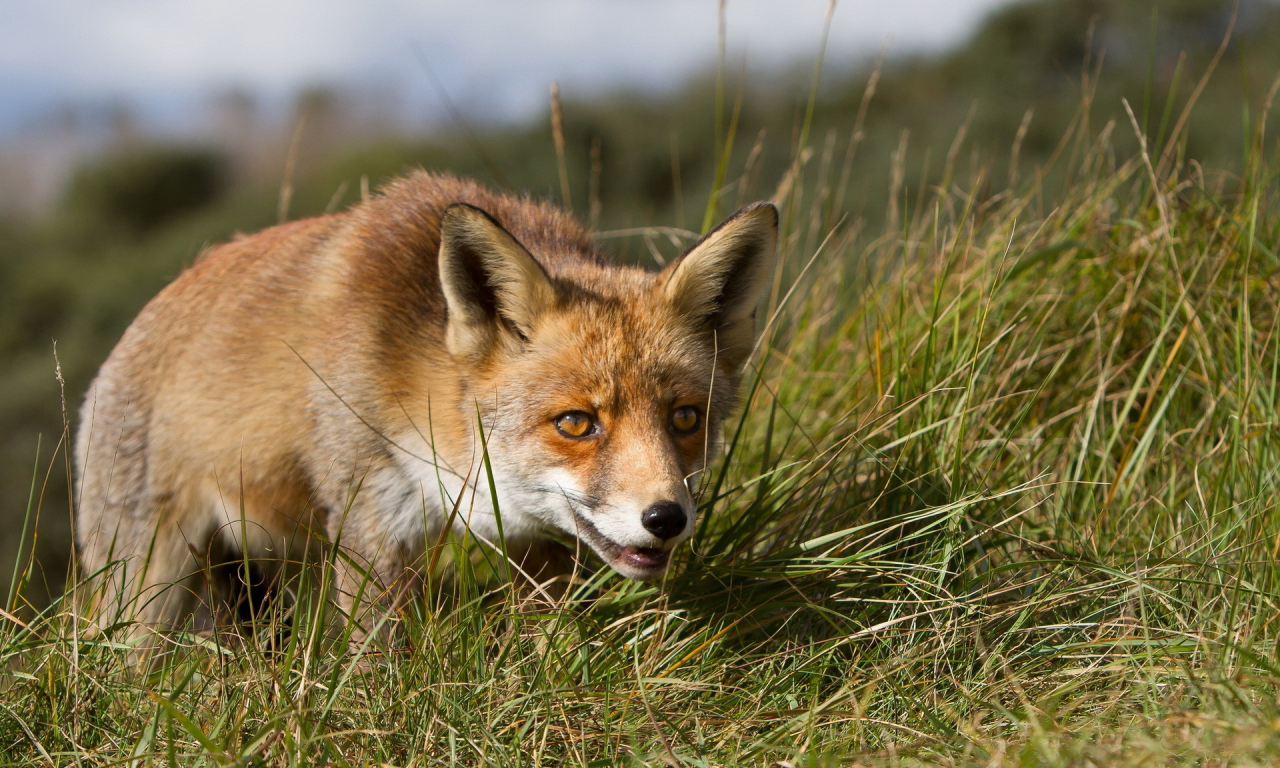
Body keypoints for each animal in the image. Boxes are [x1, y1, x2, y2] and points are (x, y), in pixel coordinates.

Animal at [77, 171, 778, 640]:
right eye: (576, 423)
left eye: (685, 419)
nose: (666, 518)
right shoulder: (367, 520)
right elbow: (378, 656)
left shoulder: (535, 546)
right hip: (148, 587)